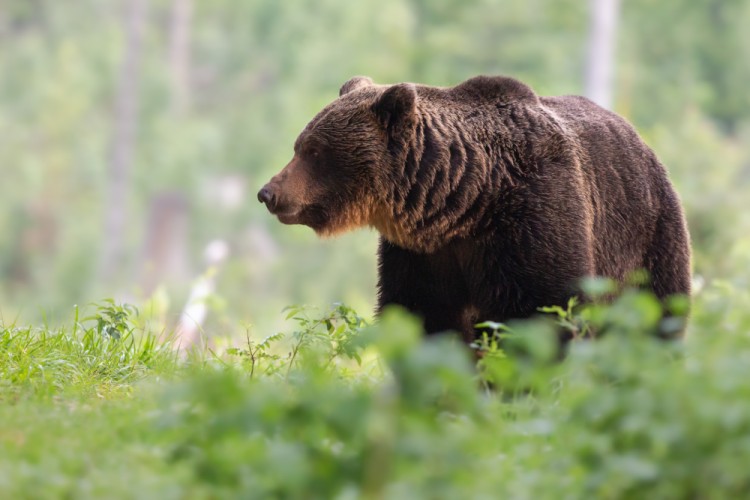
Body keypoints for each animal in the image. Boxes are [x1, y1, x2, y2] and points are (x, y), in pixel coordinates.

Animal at [258, 76, 692, 342]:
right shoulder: (425, 254)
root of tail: (640, 139)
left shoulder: (532, 220)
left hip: (647, 236)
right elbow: (424, 316)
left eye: (313, 150)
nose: (268, 192)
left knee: (658, 313)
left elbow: (542, 312)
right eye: (300, 145)